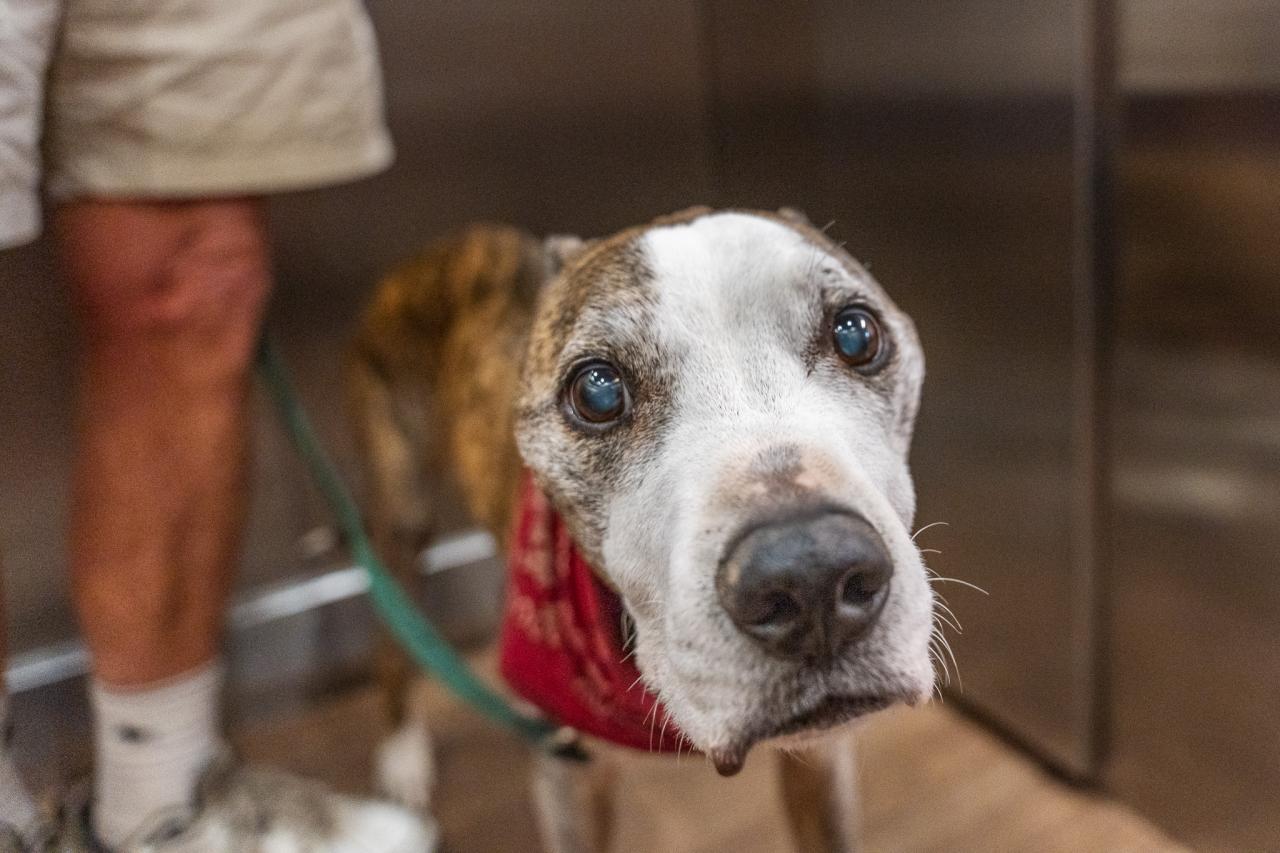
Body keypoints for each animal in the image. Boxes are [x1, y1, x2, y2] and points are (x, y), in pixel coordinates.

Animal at [345, 207, 936, 850]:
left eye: (856, 333)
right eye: (596, 390)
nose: (812, 576)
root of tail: (442, 247)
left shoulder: (822, 762)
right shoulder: (572, 778)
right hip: (401, 518)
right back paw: (402, 760)